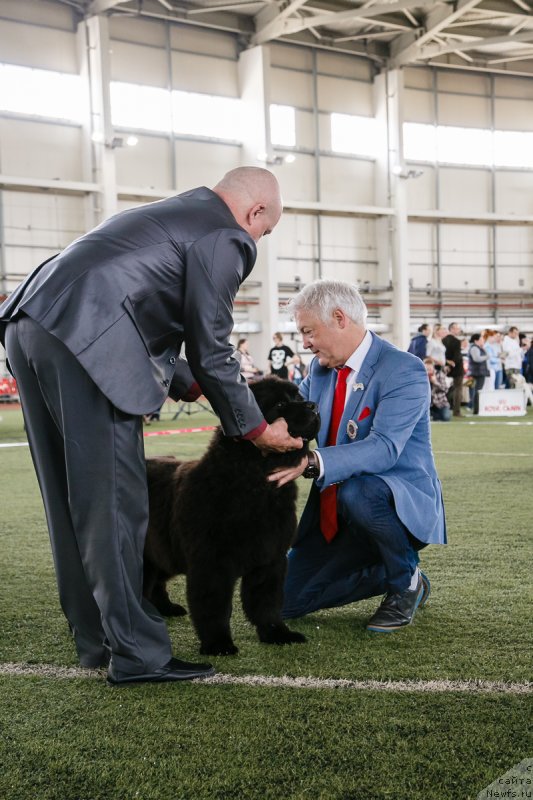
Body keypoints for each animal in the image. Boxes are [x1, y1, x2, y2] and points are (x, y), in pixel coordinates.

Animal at [143, 378, 320, 652]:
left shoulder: (271, 558)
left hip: (163, 551)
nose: (313, 405)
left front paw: (277, 634)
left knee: (156, 580)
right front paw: (218, 644)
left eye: (298, 397)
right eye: (280, 404)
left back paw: (166, 609)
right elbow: (214, 606)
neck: (255, 483)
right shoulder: (211, 562)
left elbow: (267, 603)